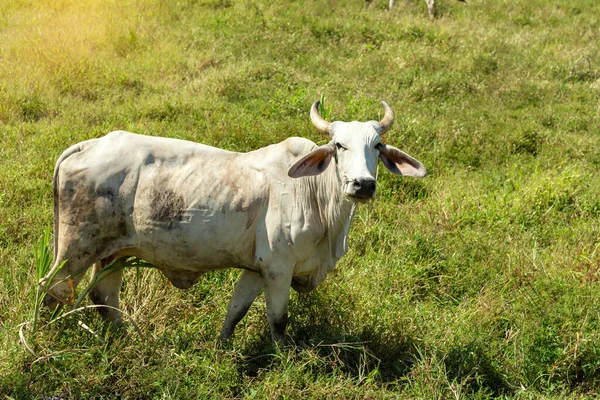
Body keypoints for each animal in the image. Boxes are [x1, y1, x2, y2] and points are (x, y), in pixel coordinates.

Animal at [42, 100, 426, 340]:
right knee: (53, 289)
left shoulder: (256, 269)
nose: (362, 184)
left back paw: (129, 338)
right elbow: (278, 320)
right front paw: (284, 358)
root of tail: (88, 145)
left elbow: (235, 311)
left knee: (104, 296)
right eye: (338, 145)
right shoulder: (278, 268)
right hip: (76, 248)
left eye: (377, 146)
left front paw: (220, 347)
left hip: (114, 252)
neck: (317, 197)